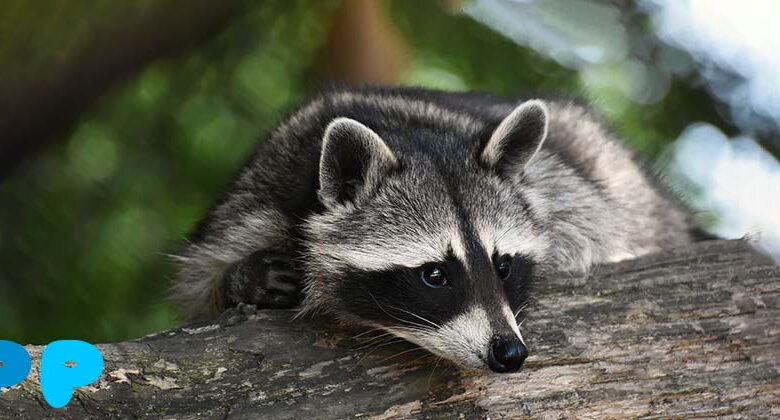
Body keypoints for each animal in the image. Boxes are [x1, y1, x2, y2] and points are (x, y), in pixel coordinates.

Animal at [172, 86, 704, 373]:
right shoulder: (257, 195)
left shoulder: (567, 193)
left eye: (503, 265)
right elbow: (199, 281)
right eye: (434, 274)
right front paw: (242, 278)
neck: (406, 133)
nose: (509, 353)